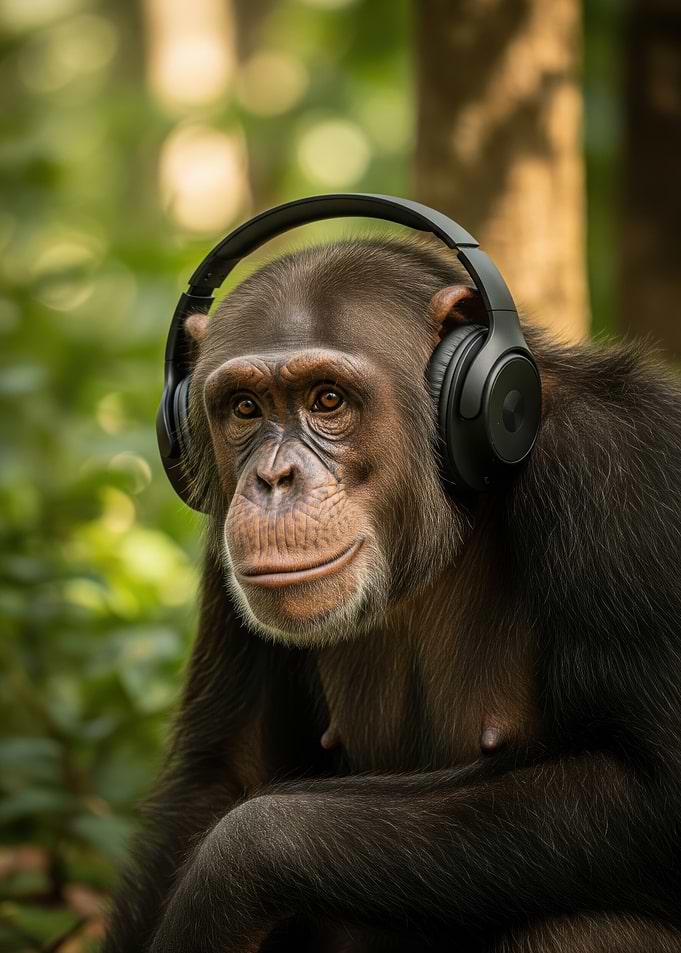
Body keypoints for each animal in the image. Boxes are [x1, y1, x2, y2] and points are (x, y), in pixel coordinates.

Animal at [103, 237, 681, 952]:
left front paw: (223, 878)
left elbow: (653, 790)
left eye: (327, 400)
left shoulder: (620, 475)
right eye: (244, 409)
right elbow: (220, 773)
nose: (273, 478)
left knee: (585, 929)